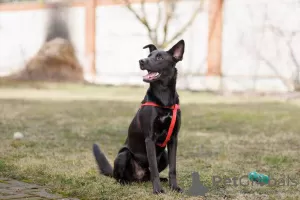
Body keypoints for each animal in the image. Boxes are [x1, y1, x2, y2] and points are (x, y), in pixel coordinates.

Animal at [92, 39, 184, 194]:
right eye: (149, 55)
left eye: (159, 57)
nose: (141, 61)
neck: (164, 96)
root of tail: (138, 177)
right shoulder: (150, 139)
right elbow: (154, 168)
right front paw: (157, 190)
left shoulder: (173, 139)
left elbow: (173, 168)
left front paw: (174, 187)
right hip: (123, 154)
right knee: (120, 177)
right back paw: (124, 182)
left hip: (164, 156)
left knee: (149, 175)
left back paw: (161, 179)